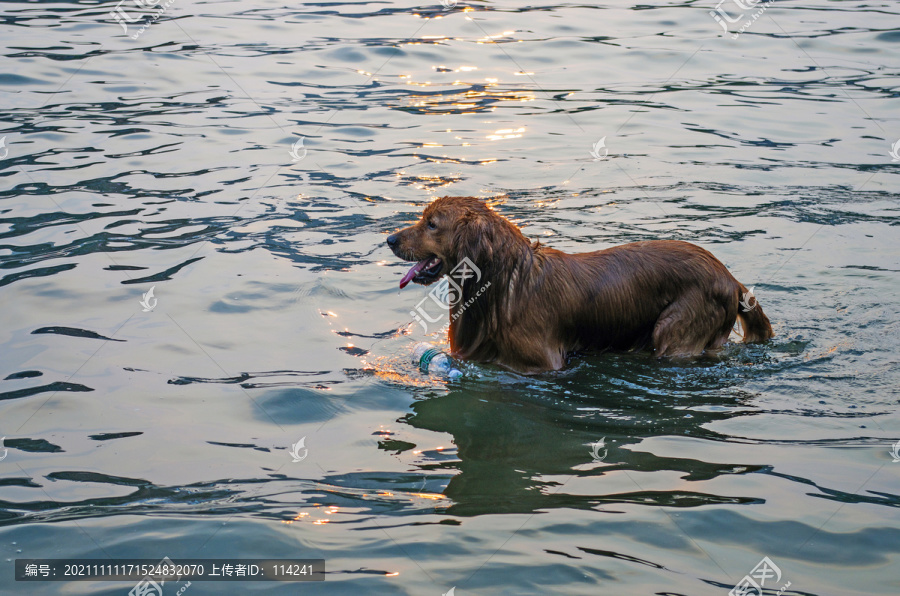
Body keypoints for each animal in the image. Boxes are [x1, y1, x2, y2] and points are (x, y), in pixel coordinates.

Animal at [386, 196, 772, 372]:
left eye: (432, 224)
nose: (389, 239)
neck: (502, 286)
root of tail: (731, 278)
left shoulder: (543, 365)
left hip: (674, 329)